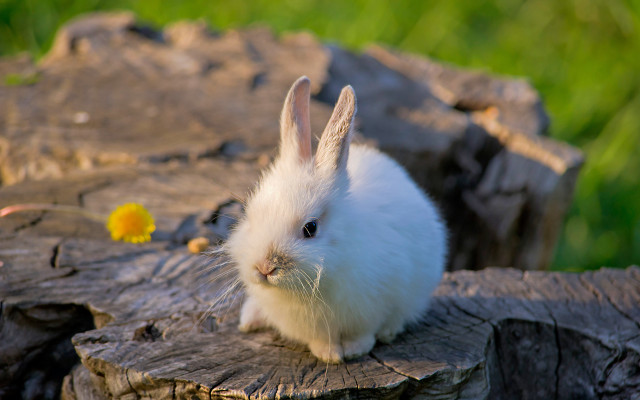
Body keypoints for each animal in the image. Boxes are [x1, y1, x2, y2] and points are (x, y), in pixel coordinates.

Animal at [225, 76, 447, 363]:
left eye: (310, 228)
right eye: (250, 215)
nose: (264, 268)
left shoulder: (373, 309)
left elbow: (364, 333)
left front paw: (353, 350)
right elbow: (321, 340)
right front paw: (328, 354)